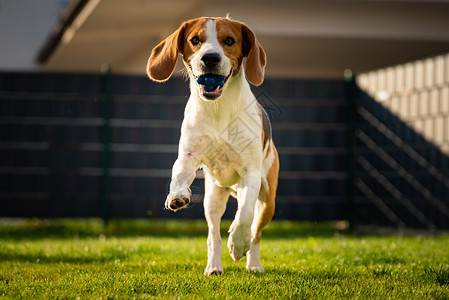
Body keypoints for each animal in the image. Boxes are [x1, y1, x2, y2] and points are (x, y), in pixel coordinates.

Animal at [147, 15, 278, 274]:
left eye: (229, 41)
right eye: (195, 40)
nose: (210, 58)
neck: (217, 108)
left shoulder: (251, 174)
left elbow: (245, 215)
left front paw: (237, 242)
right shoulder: (188, 157)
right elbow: (178, 176)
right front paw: (177, 195)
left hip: (268, 201)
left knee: (255, 232)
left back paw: (253, 264)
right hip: (213, 199)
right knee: (213, 235)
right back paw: (214, 266)